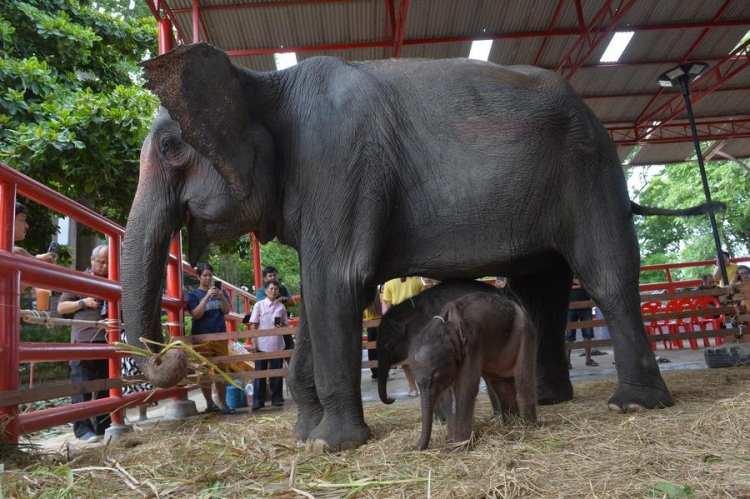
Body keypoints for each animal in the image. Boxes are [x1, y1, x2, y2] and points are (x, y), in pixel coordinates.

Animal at [384, 292, 536, 452]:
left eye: (436, 376)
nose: (413, 448)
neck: (446, 325)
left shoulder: (473, 343)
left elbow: (466, 386)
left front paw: (459, 446)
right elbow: (446, 393)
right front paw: (452, 442)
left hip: (524, 334)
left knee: (522, 380)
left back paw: (527, 427)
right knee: (500, 384)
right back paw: (511, 425)